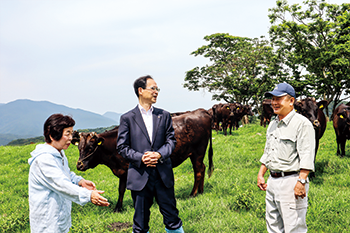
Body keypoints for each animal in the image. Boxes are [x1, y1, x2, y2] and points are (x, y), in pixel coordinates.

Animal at [71, 108, 213, 212]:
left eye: (90, 147)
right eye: (78, 147)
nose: (79, 165)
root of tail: (201, 111)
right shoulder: (123, 171)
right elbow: (121, 189)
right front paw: (118, 208)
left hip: (198, 152)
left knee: (198, 171)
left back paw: (193, 193)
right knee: (203, 167)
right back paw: (200, 192)